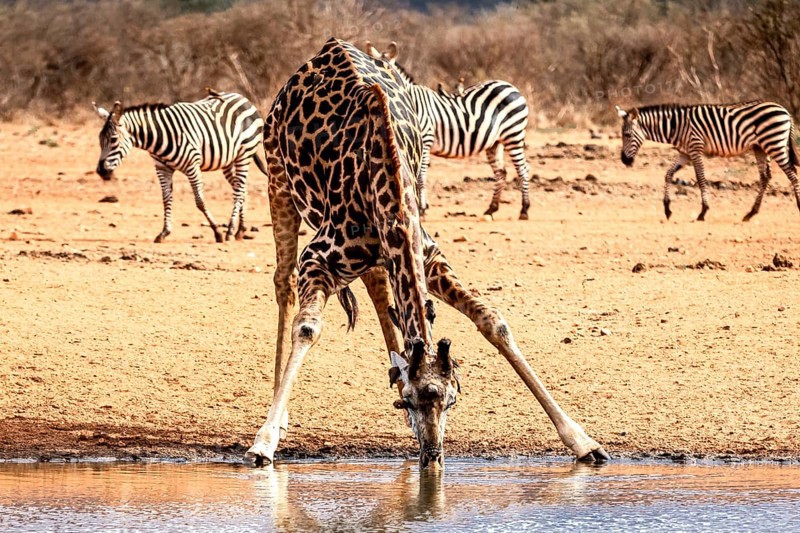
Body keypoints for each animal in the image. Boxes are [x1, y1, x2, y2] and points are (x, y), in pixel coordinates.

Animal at [246, 38, 609, 469]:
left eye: (452, 399)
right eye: (408, 401)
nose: (432, 454)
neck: (386, 188)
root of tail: (325, 49)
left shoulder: (428, 257)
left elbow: (493, 321)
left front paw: (583, 441)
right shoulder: (316, 260)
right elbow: (307, 327)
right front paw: (265, 441)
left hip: (372, 251)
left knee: (377, 286)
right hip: (278, 180)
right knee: (283, 281)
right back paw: (280, 416)